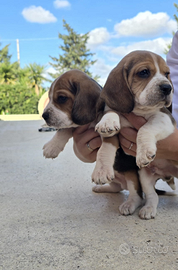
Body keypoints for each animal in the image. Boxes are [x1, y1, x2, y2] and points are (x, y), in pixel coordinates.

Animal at [92, 50, 178, 219]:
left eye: (167, 73)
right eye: (144, 72)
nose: (168, 87)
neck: (138, 110)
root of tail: (167, 174)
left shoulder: (165, 118)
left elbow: (145, 128)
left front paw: (143, 152)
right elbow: (106, 144)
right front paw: (102, 170)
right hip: (144, 175)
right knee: (151, 196)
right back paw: (148, 209)